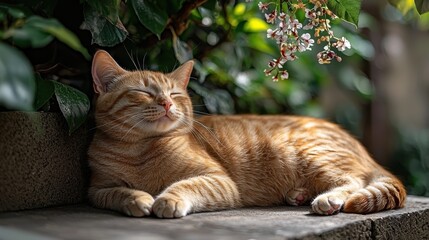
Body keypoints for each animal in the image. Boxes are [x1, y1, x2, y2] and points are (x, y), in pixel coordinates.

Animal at [88, 50, 404, 218]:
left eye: (175, 94)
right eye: (142, 92)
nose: (166, 103)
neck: (138, 152)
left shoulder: (218, 180)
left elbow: (185, 186)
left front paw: (167, 199)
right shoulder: (97, 190)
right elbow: (117, 193)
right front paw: (138, 199)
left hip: (310, 154)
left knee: (354, 180)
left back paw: (326, 199)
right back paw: (299, 194)